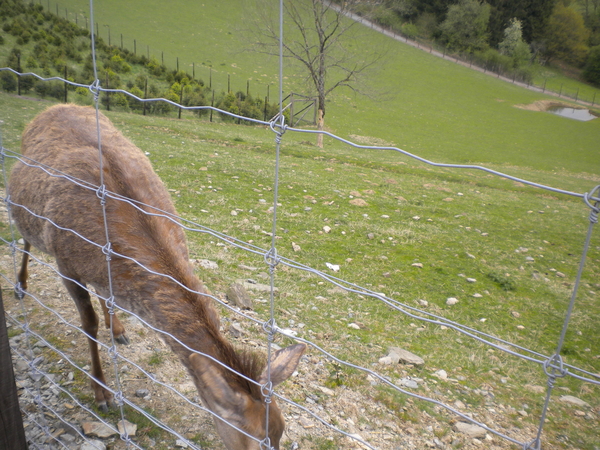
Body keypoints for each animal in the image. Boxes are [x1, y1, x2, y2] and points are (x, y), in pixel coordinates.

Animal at [10, 103, 304, 448]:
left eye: (282, 430)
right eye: (258, 440)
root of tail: (52, 107)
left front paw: (116, 329)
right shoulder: (65, 261)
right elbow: (88, 324)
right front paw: (102, 393)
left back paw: (118, 328)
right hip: (23, 210)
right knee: (25, 238)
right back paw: (20, 285)